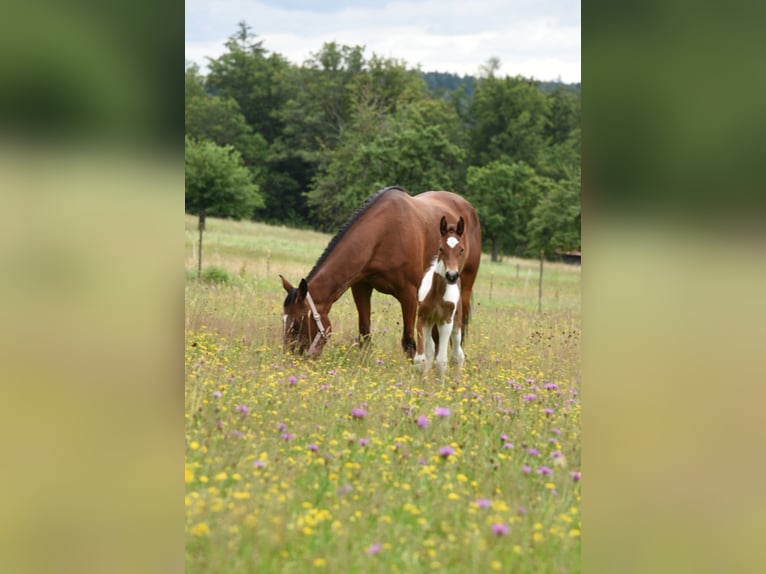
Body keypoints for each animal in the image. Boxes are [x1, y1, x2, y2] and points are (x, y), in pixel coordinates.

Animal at [280, 186, 481, 358]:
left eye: (297, 324)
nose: (290, 359)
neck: (383, 235)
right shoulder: (361, 288)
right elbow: (365, 335)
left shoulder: (409, 295)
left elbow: (408, 343)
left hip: (463, 287)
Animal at [414, 215, 467, 377]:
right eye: (441, 248)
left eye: (461, 249)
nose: (452, 276)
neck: (437, 294)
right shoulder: (421, 317)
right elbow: (421, 359)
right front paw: (422, 381)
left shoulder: (446, 321)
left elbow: (442, 362)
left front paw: (440, 383)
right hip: (431, 322)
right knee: (430, 350)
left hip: (456, 322)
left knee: (458, 355)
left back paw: (457, 380)